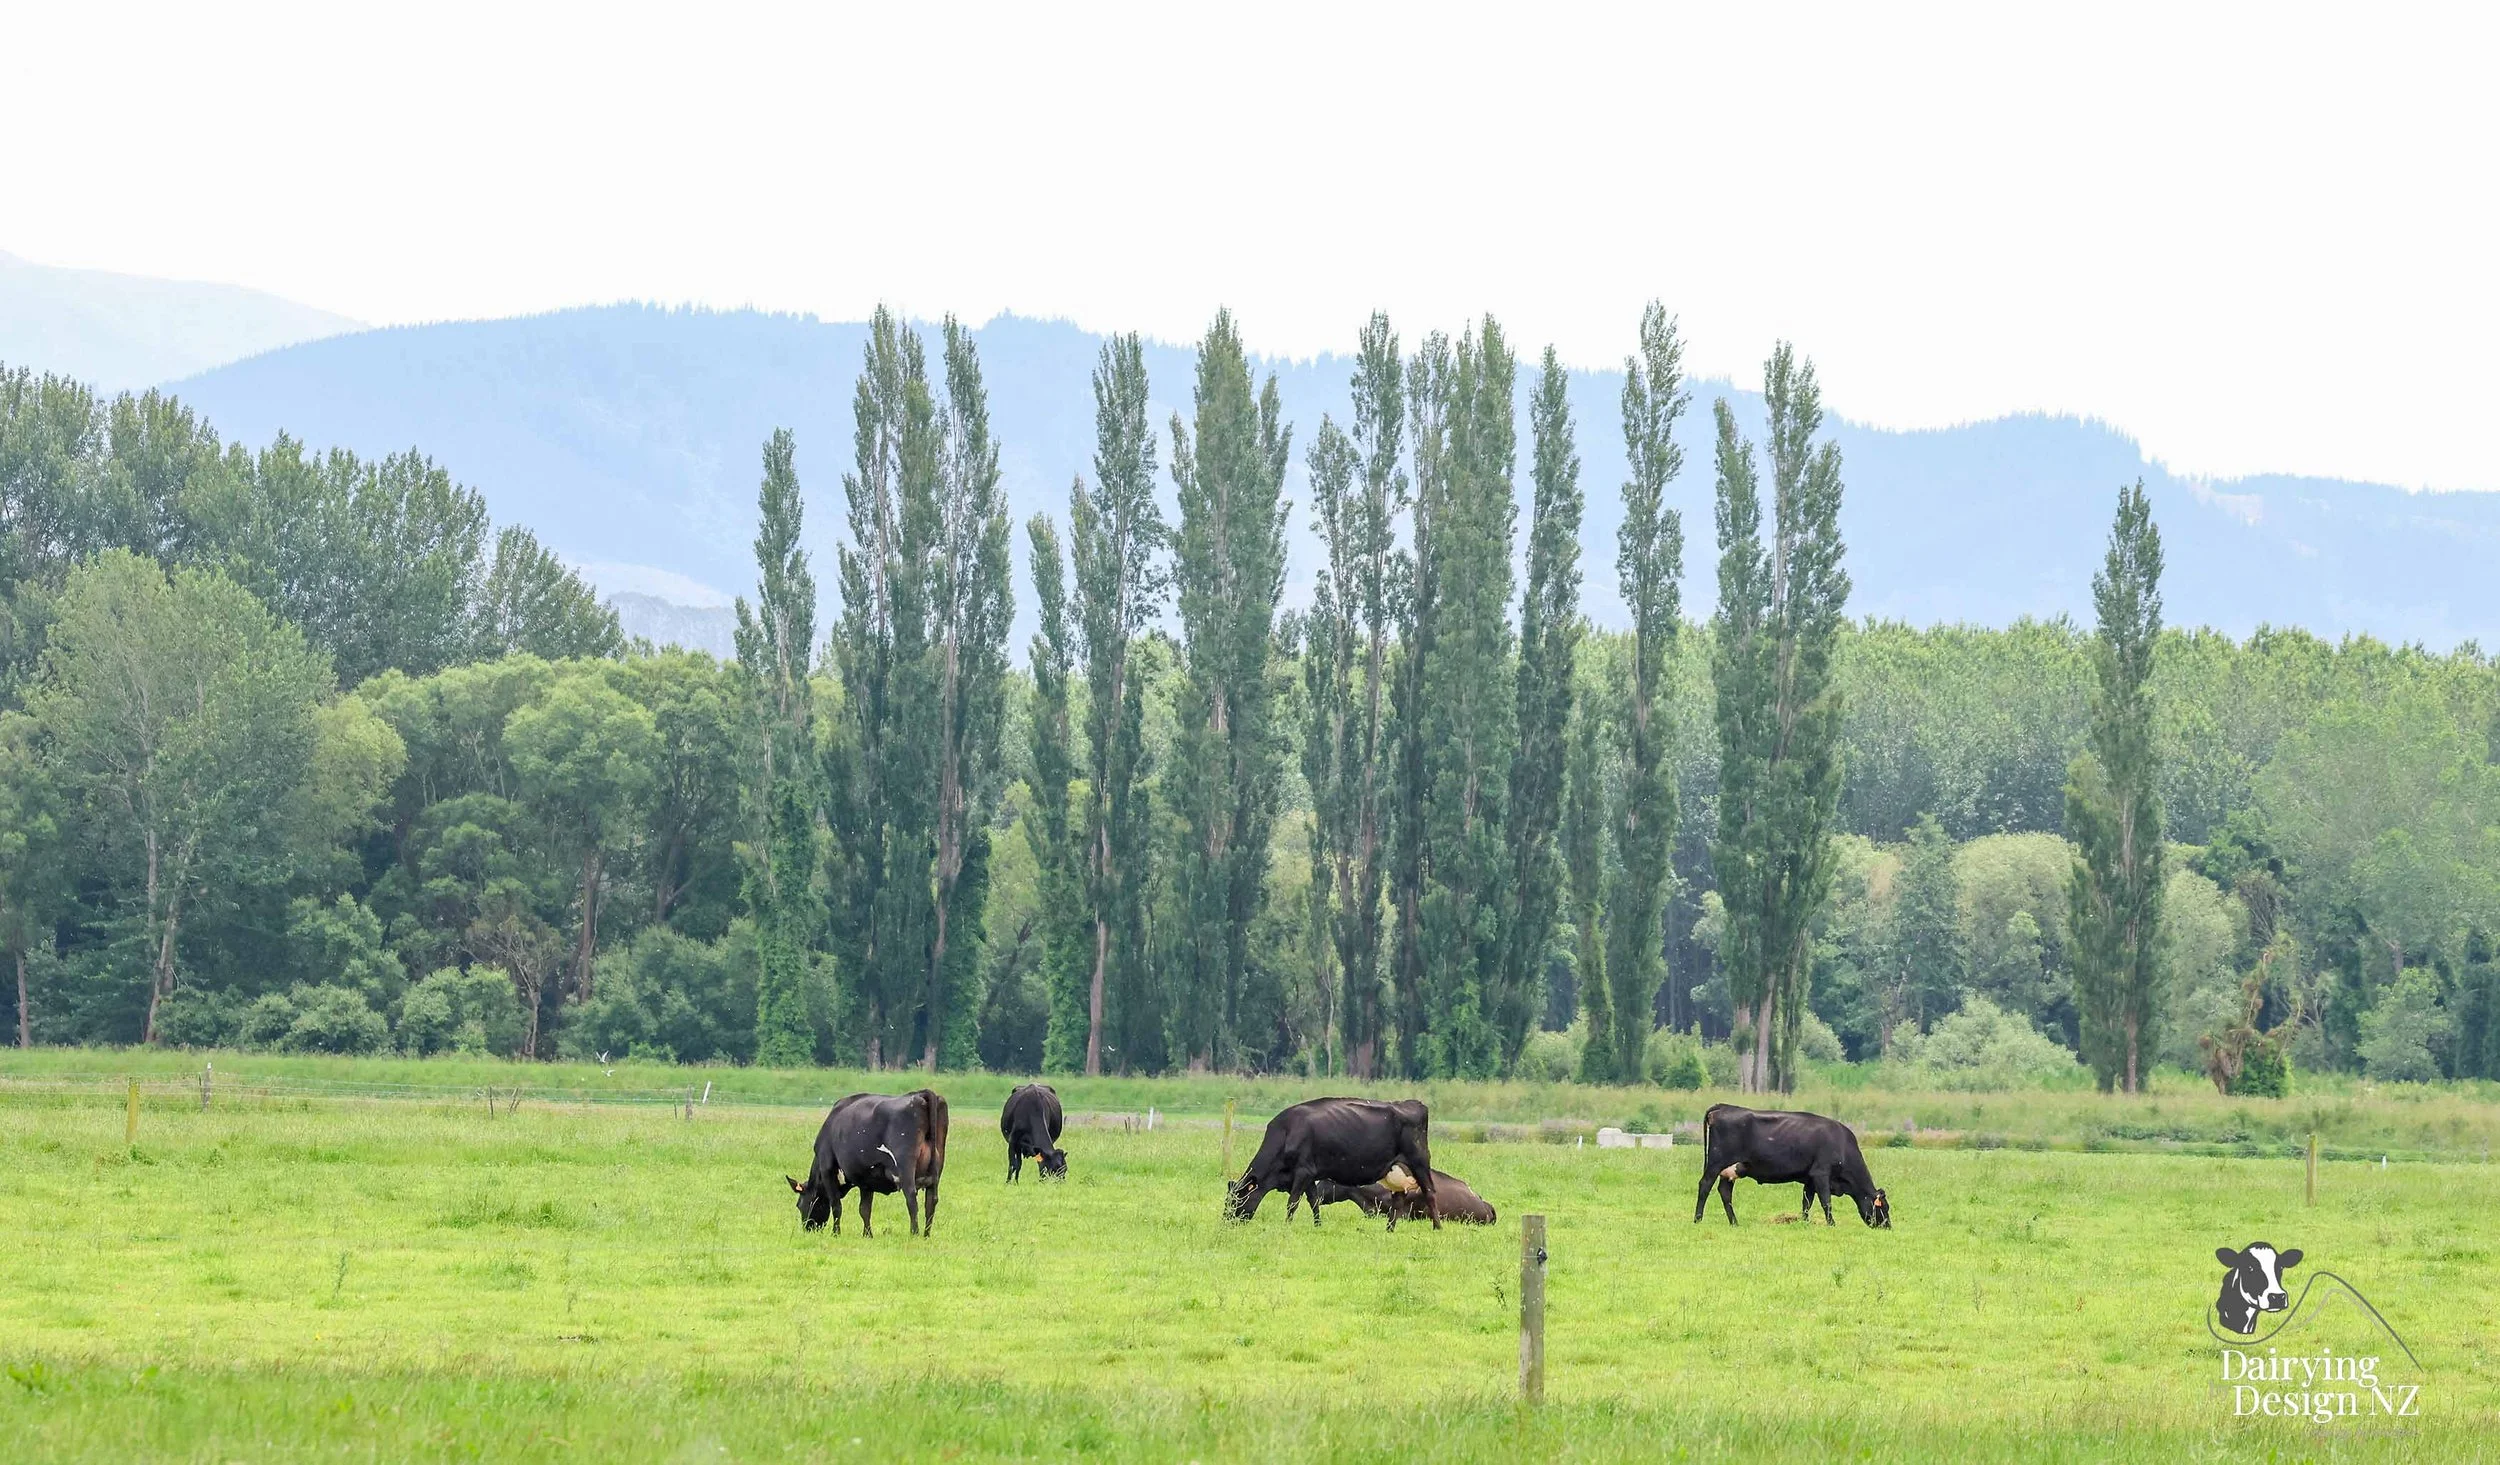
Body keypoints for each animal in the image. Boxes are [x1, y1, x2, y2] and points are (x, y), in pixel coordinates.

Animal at [787, 1089, 950, 1238]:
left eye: (799, 1205)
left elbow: (836, 1205)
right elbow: (864, 1209)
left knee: (911, 1198)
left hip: (905, 1165)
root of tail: (920, 1094)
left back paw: (914, 1233)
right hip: (936, 1169)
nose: (808, 1229)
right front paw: (867, 1234)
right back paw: (926, 1235)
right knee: (931, 1201)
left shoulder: (827, 1167)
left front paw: (836, 1233)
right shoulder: (866, 1179)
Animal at [1224, 1097, 1439, 1230]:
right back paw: (1389, 1228)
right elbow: (1313, 1201)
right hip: (1397, 1169)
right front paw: (1318, 1225)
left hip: (1419, 1161)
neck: (1286, 1133)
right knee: (1399, 1198)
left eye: (1236, 1200)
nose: (1226, 1221)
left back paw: (1437, 1227)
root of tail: (1413, 1103)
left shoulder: (1303, 1171)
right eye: (1227, 1201)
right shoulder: (1309, 1175)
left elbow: (1292, 1202)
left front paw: (1287, 1225)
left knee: (1429, 1192)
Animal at [1694, 1102, 1891, 1228]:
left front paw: (1805, 1222)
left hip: (1729, 1170)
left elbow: (1807, 1202)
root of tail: (1723, 1106)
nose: (1887, 1226)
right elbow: (1826, 1201)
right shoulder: (1821, 1173)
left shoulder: (1810, 1179)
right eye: (1883, 1207)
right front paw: (1831, 1224)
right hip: (1715, 1163)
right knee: (1705, 1185)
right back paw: (1698, 1219)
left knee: (1725, 1192)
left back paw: (1734, 1222)